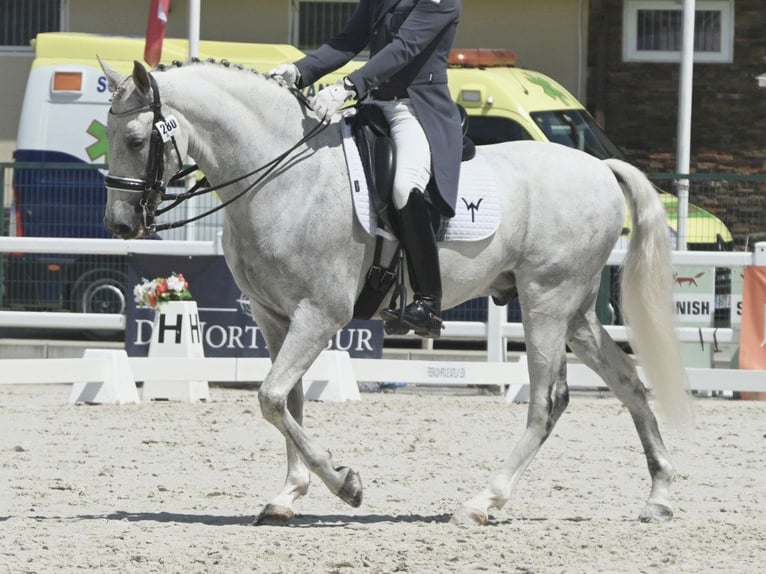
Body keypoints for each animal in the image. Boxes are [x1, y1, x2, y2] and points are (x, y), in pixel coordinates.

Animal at [99, 60, 692, 528]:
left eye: (135, 141)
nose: (121, 224)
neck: (283, 177)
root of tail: (600, 167)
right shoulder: (273, 315)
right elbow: (287, 400)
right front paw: (288, 496)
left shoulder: (321, 313)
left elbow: (269, 397)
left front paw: (345, 483)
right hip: (576, 312)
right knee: (629, 383)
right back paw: (660, 497)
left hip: (546, 300)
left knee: (548, 403)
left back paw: (482, 501)